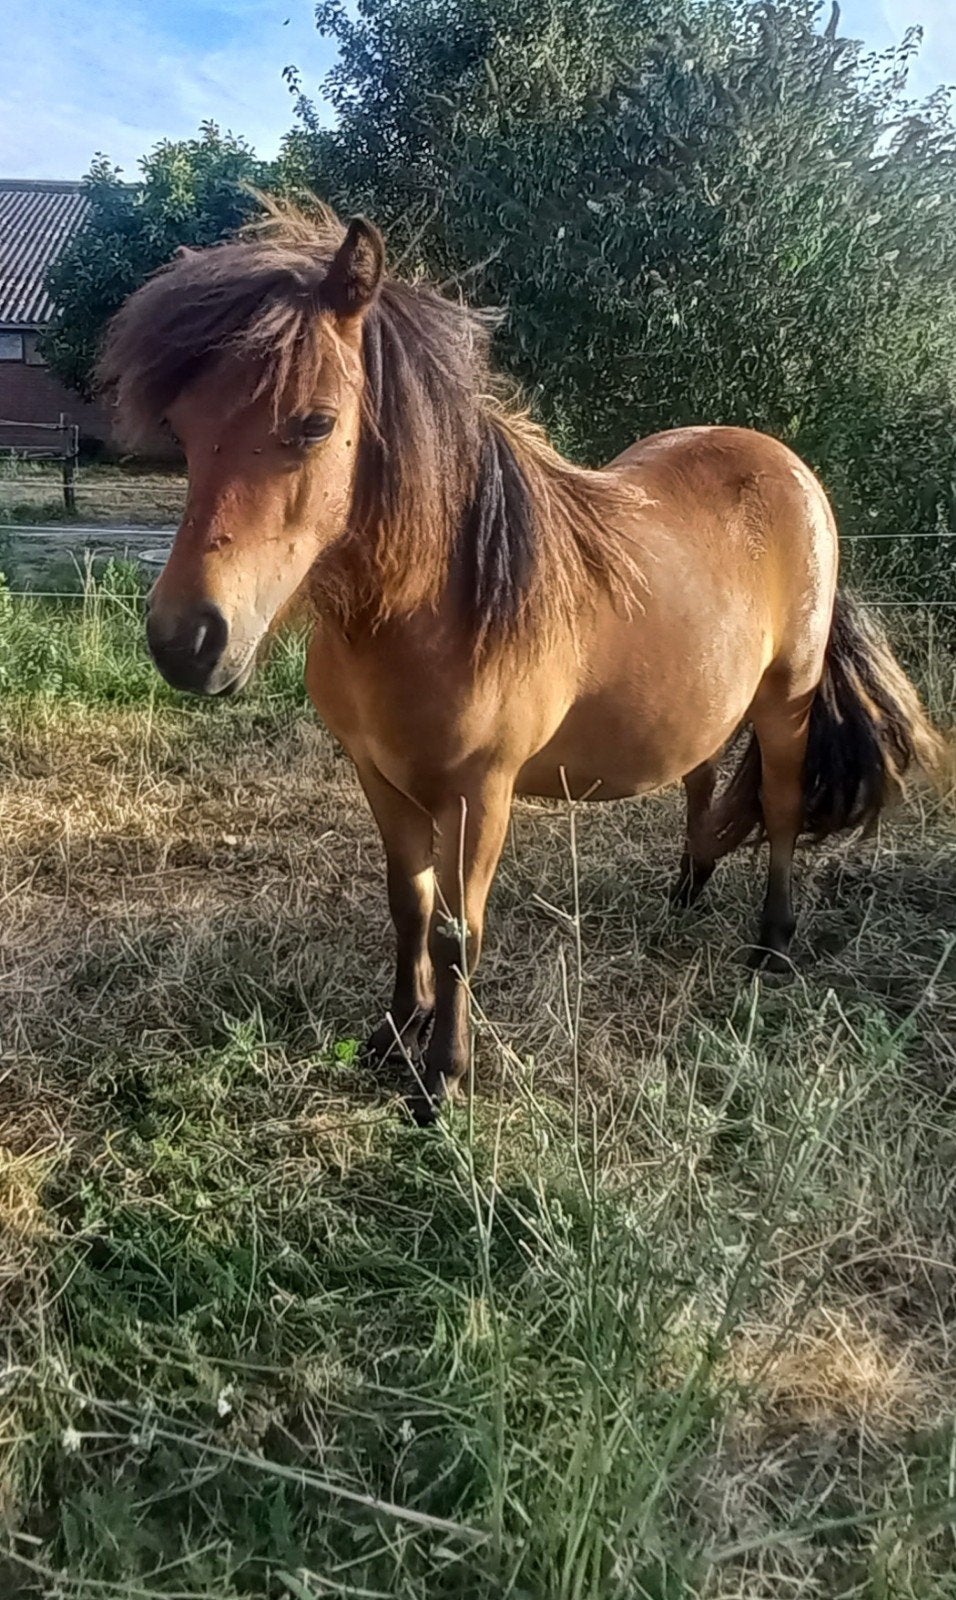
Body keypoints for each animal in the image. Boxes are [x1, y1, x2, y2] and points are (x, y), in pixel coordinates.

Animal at [99, 203, 944, 1124]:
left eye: (315, 423)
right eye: (184, 428)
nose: (185, 641)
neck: (432, 606)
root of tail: (789, 469)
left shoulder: (481, 794)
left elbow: (457, 932)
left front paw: (441, 1079)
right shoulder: (380, 780)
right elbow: (408, 908)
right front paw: (393, 1035)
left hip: (787, 703)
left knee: (784, 813)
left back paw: (773, 948)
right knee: (698, 781)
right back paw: (685, 893)